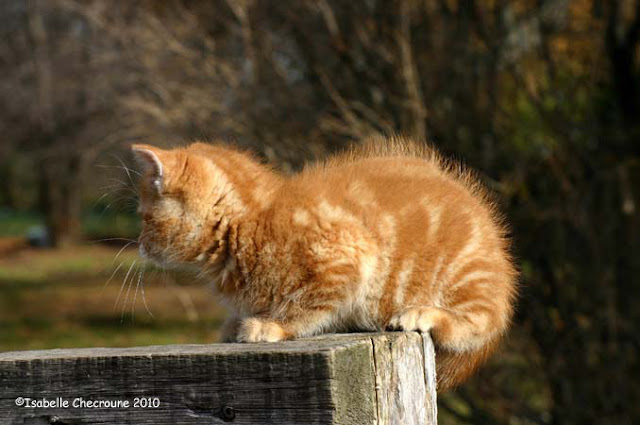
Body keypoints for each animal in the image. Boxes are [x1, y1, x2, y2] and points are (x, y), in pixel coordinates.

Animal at [131, 136, 518, 390]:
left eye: (145, 218)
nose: (140, 245)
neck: (249, 222)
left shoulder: (349, 256)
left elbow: (309, 307)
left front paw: (271, 326)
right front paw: (234, 323)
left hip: (465, 277)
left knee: (481, 322)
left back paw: (425, 313)